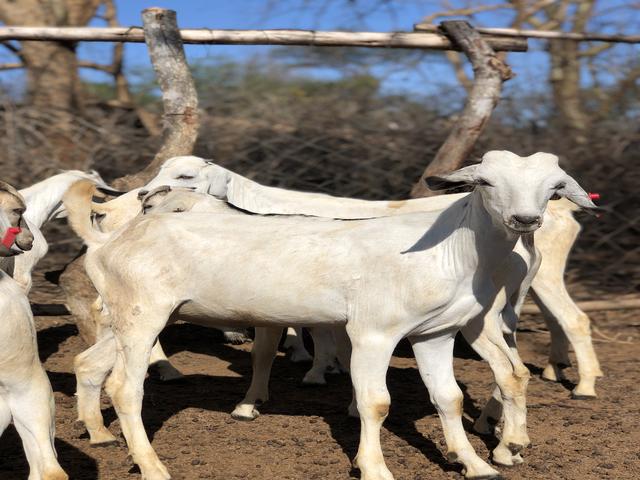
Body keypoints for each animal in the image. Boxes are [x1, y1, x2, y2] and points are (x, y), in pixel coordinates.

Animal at [68, 151, 595, 480]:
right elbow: (376, 403)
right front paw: (375, 467)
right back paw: (153, 465)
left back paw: (100, 435)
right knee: (125, 387)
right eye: (485, 182)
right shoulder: (373, 332)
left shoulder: (436, 334)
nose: (525, 220)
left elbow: (448, 399)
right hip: (143, 315)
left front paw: (476, 464)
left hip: (128, 316)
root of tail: (109, 240)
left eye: (554, 188)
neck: (448, 250)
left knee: (89, 365)